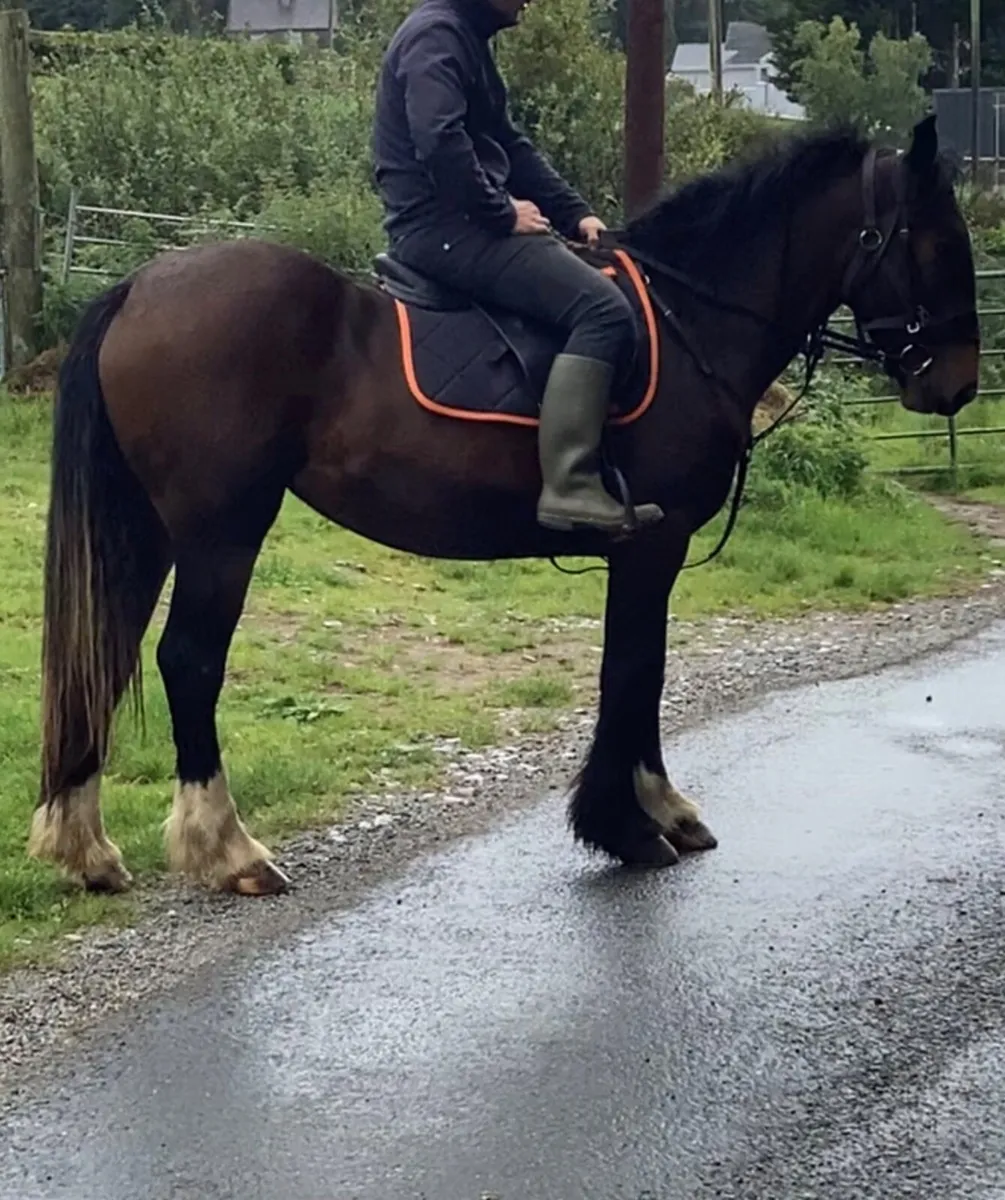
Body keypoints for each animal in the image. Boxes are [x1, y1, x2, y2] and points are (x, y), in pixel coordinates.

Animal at [29, 115, 980, 897]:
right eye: (934, 243)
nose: (958, 385)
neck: (687, 322)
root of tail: (140, 288)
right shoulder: (652, 544)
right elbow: (633, 668)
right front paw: (625, 826)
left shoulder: (648, 551)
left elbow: (642, 669)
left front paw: (657, 810)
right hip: (222, 530)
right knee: (187, 662)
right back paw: (226, 850)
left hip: (151, 530)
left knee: (105, 654)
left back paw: (85, 849)